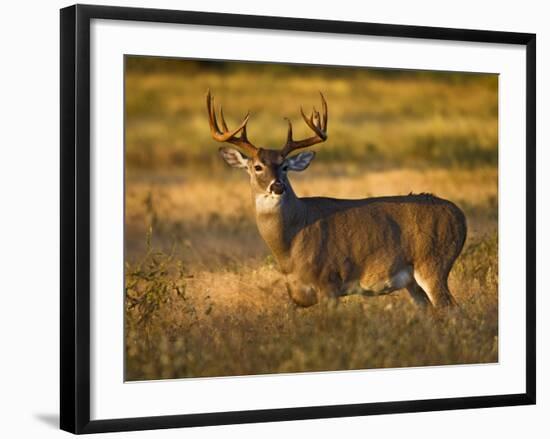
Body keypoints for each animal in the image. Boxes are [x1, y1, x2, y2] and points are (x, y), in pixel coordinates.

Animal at [209, 91, 468, 308]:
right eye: (257, 166)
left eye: (284, 166)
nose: (278, 186)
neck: (291, 243)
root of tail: (460, 216)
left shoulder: (328, 281)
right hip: (412, 281)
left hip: (433, 263)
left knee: (452, 309)